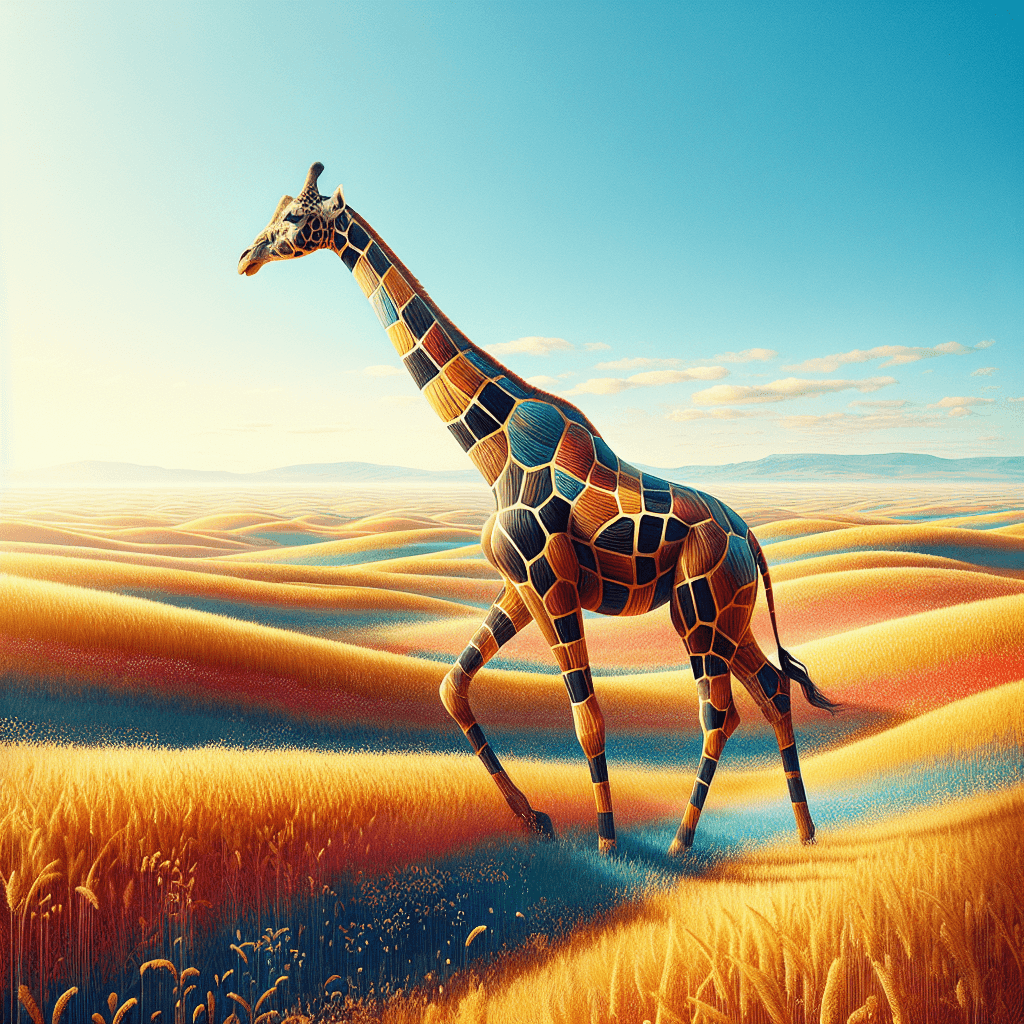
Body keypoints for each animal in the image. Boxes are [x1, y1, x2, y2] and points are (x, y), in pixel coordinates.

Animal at [238, 163, 839, 855]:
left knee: (721, 712)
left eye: (292, 217)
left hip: (700, 612)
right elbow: (452, 686)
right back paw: (805, 832)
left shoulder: (549, 580)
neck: (493, 447)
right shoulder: (521, 584)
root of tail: (752, 538)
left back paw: (680, 844)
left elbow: (588, 718)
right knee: (771, 690)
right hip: (724, 614)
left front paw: (606, 844)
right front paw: (535, 818)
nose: (245, 257)